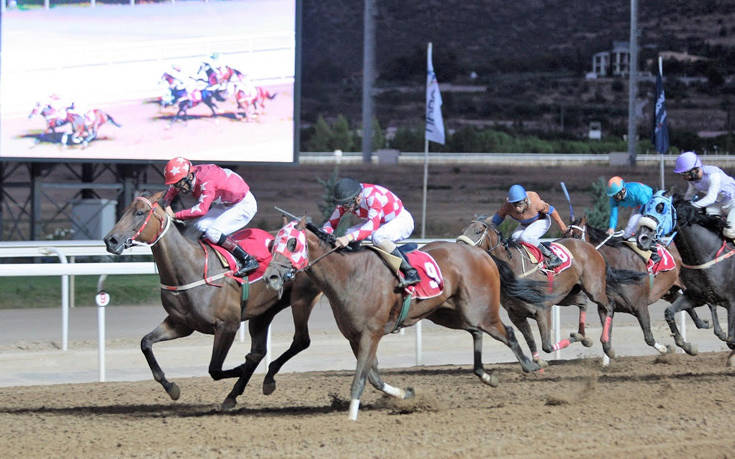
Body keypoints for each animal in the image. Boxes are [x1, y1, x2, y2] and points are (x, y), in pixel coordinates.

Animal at [103, 192, 322, 412]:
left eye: (140, 212)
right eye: (125, 210)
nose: (110, 240)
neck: (191, 268)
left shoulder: (228, 325)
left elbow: (215, 369)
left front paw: (239, 367)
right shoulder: (180, 324)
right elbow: (145, 343)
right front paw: (171, 387)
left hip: (301, 300)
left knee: (301, 340)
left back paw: (264, 378)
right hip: (263, 311)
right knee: (259, 351)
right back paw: (241, 391)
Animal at [264, 218, 548, 420]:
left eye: (292, 243)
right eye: (272, 244)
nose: (271, 277)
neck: (350, 274)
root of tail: (483, 254)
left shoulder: (371, 334)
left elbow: (360, 378)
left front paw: (351, 418)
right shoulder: (355, 337)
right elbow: (374, 377)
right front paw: (406, 393)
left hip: (481, 311)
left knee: (507, 332)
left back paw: (532, 365)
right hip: (448, 313)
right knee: (475, 332)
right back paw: (486, 375)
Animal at [458, 217, 620, 364]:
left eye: (478, 231)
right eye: (463, 230)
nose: (460, 248)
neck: (514, 266)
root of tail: (589, 247)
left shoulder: (542, 309)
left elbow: (547, 346)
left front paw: (575, 338)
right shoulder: (516, 314)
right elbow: (529, 338)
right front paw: (538, 360)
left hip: (594, 288)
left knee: (607, 306)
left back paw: (607, 345)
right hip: (565, 295)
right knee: (583, 302)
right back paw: (586, 338)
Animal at [568, 214, 712, 358]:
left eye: (576, 235)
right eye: (564, 235)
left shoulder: (640, 305)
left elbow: (648, 337)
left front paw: (665, 349)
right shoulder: (605, 307)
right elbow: (606, 341)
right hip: (669, 291)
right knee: (681, 306)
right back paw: (693, 337)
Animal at [640, 196, 735, 364]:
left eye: (661, 209)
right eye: (644, 209)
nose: (642, 239)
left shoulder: (731, 300)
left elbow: (731, 339)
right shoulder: (696, 296)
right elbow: (669, 312)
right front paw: (687, 346)